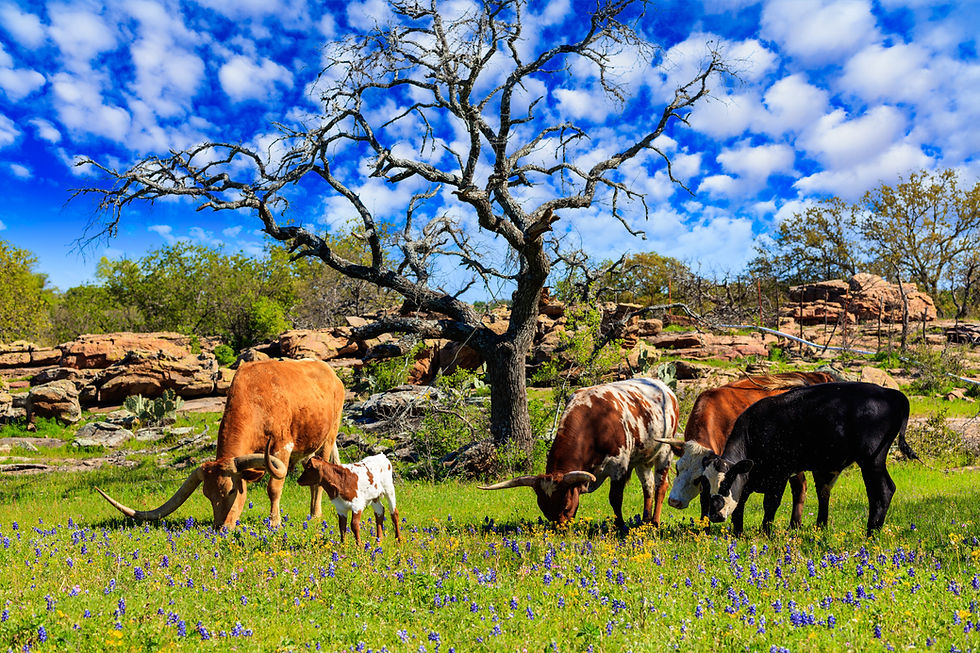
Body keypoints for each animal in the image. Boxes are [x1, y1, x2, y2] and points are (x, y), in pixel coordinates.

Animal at [96, 358, 344, 531]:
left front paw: (274, 522)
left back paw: (315, 515)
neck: (257, 399)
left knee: (318, 478)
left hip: (328, 437)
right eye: (207, 494)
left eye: (232, 490)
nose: (220, 528)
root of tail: (330, 372)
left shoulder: (281, 448)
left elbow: (274, 488)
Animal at [479, 378, 679, 529]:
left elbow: (615, 498)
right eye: (543, 508)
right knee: (648, 487)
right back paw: (645, 522)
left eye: (566, 506)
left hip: (665, 451)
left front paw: (620, 527)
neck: (594, 421)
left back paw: (654, 523)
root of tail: (665, 388)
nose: (560, 531)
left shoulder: (619, 466)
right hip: (643, 459)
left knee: (660, 486)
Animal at [658, 371, 838, 527]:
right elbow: (707, 498)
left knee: (816, 489)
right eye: (677, 468)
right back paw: (795, 525)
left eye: (697, 478)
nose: (674, 501)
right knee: (800, 486)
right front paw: (704, 527)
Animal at [702, 382, 916, 537]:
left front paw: (765, 533)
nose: (714, 514)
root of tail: (890, 393)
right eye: (707, 485)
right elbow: (740, 506)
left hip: (872, 460)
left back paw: (871, 532)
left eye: (726, 483)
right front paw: (737, 533)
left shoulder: (779, 473)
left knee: (883, 491)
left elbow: (770, 504)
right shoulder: (747, 480)